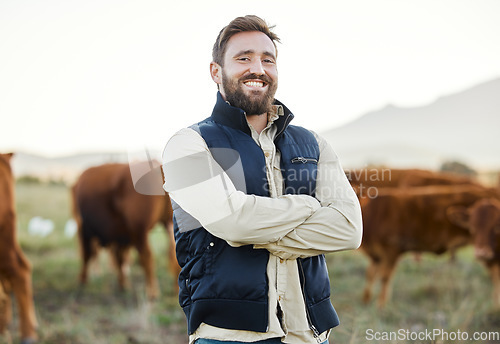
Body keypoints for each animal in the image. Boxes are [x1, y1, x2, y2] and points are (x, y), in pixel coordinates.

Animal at [70, 161, 180, 298]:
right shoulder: (122, 236)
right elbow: (119, 258)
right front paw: (123, 284)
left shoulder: (86, 230)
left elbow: (87, 255)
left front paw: (82, 280)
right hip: (167, 223)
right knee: (173, 253)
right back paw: (176, 289)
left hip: (139, 232)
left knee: (147, 256)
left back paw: (152, 291)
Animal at [362, 184, 500, 308]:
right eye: (472, 227)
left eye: (496, 227)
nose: (482, 252)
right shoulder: (375, 255)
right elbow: (370, 274)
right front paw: (366, 299)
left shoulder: (391, 251)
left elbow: (384, 278)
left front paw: (381, 305)